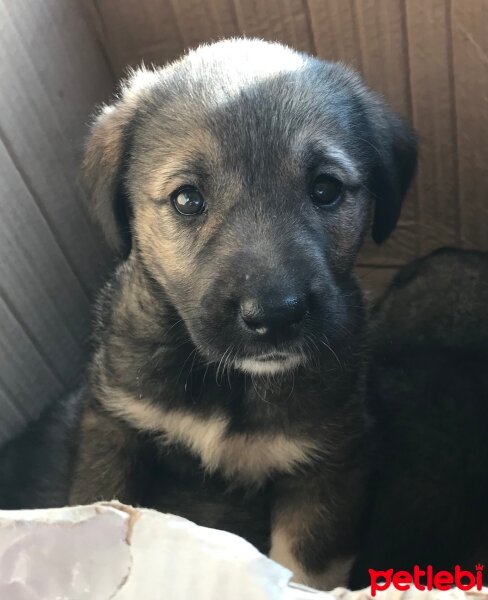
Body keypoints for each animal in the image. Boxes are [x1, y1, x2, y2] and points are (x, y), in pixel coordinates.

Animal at [0, 39, 416, 588]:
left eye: (325, 190)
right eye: (187, 199)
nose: (275, 316)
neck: (231, 384)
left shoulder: (330, 460)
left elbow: (303, 568)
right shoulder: (113, 422)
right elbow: (98, 500)